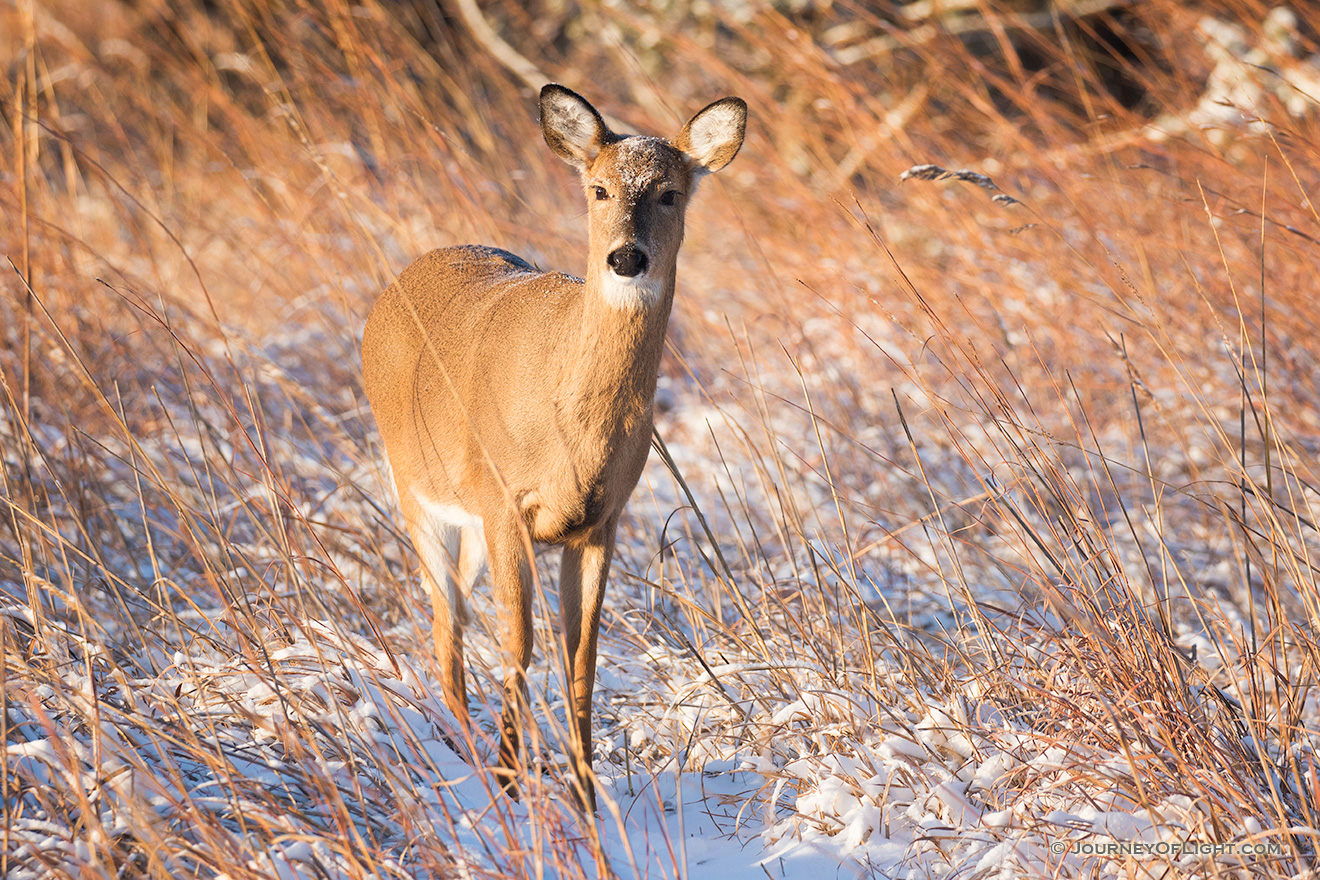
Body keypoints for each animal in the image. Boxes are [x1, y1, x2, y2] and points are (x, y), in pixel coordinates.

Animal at [361, 84, 749, 812]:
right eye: (597, 189)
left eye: (670, 192)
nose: (626, 258)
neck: (572, 428)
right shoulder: (505, 502)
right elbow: (519, 643)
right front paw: (512, 780)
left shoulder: (601, 520)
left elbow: (582, 656)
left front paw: (587, 791)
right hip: (417, 491)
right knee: (446, 622)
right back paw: (470, 760)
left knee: (456, 613)